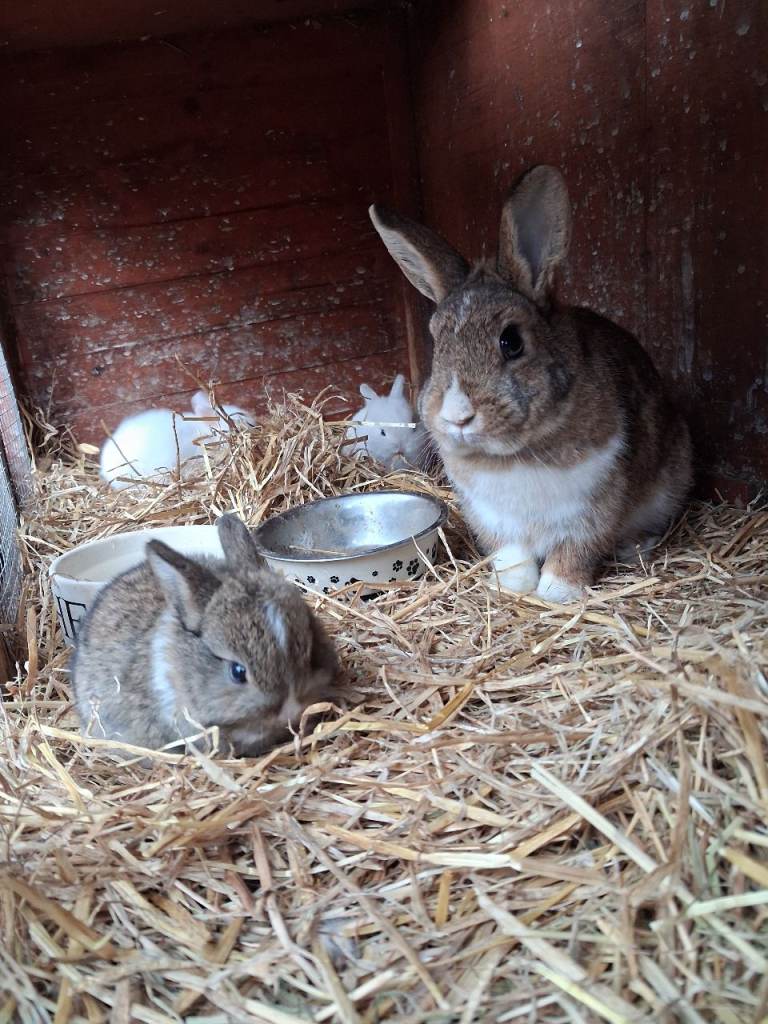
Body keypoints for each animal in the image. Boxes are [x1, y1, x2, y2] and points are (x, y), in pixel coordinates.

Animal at [369, 165, 693, 602]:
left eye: (512, 341)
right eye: (436, 339)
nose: (457, 416)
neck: (514, 455)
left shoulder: (593, 508)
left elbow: (575, 552)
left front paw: (557, 592)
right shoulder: (493, 519)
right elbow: (512, 555)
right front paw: (512, 587)